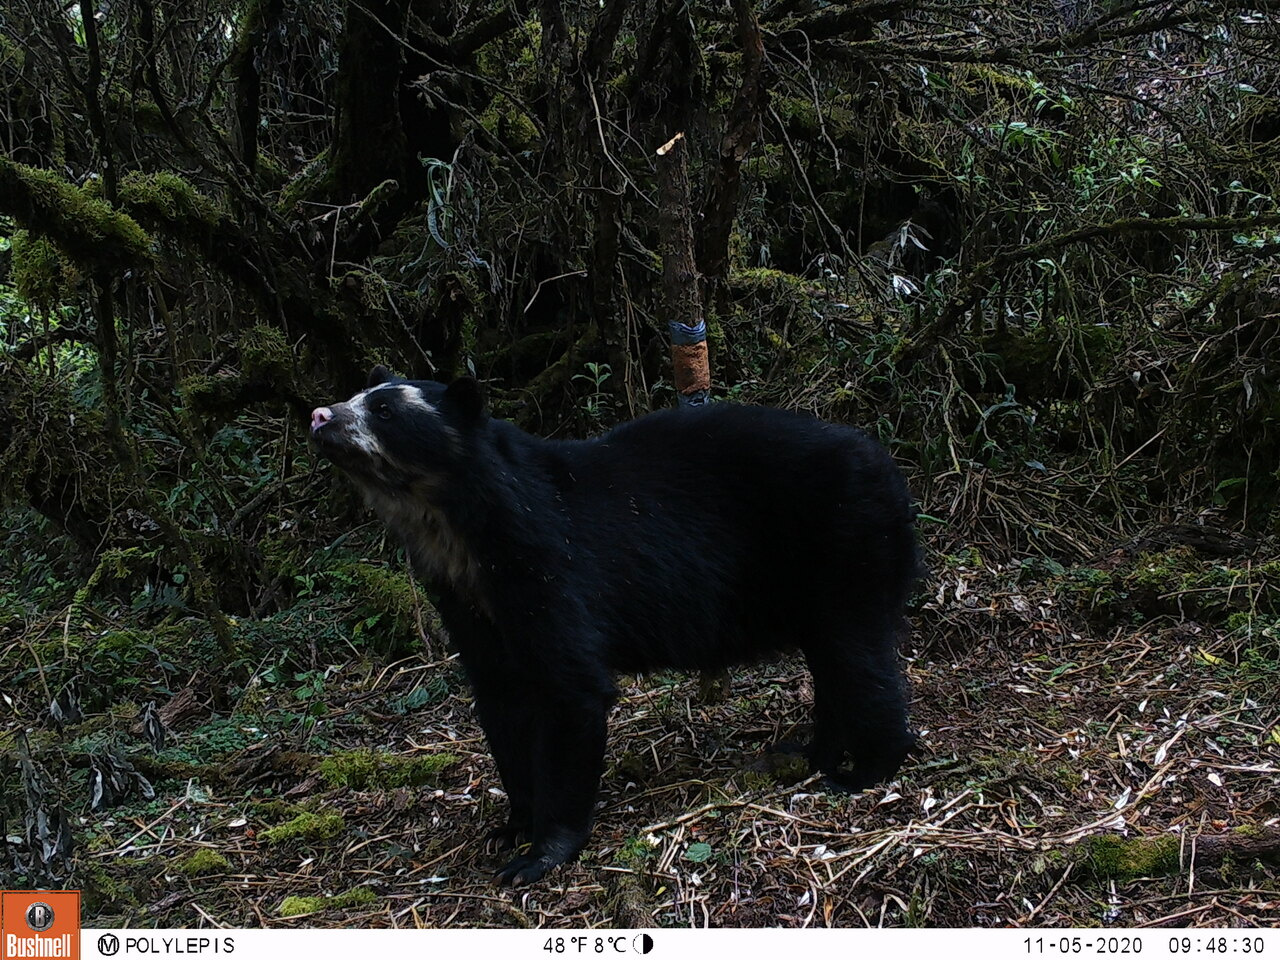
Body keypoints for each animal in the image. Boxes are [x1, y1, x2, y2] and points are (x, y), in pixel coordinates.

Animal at [309, 366, 919, 885]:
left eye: (384, 409)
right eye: (357, 396)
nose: (319, 414)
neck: (458, 531)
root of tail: (891, 469)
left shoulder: (548, 567)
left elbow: (572, 693)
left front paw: (539, 854)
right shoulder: (468, 604)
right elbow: (501, 701)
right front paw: (510, 826)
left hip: (846, 545)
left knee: (859, 660)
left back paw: (865, 769)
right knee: (836, 666)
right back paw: (811, 753)